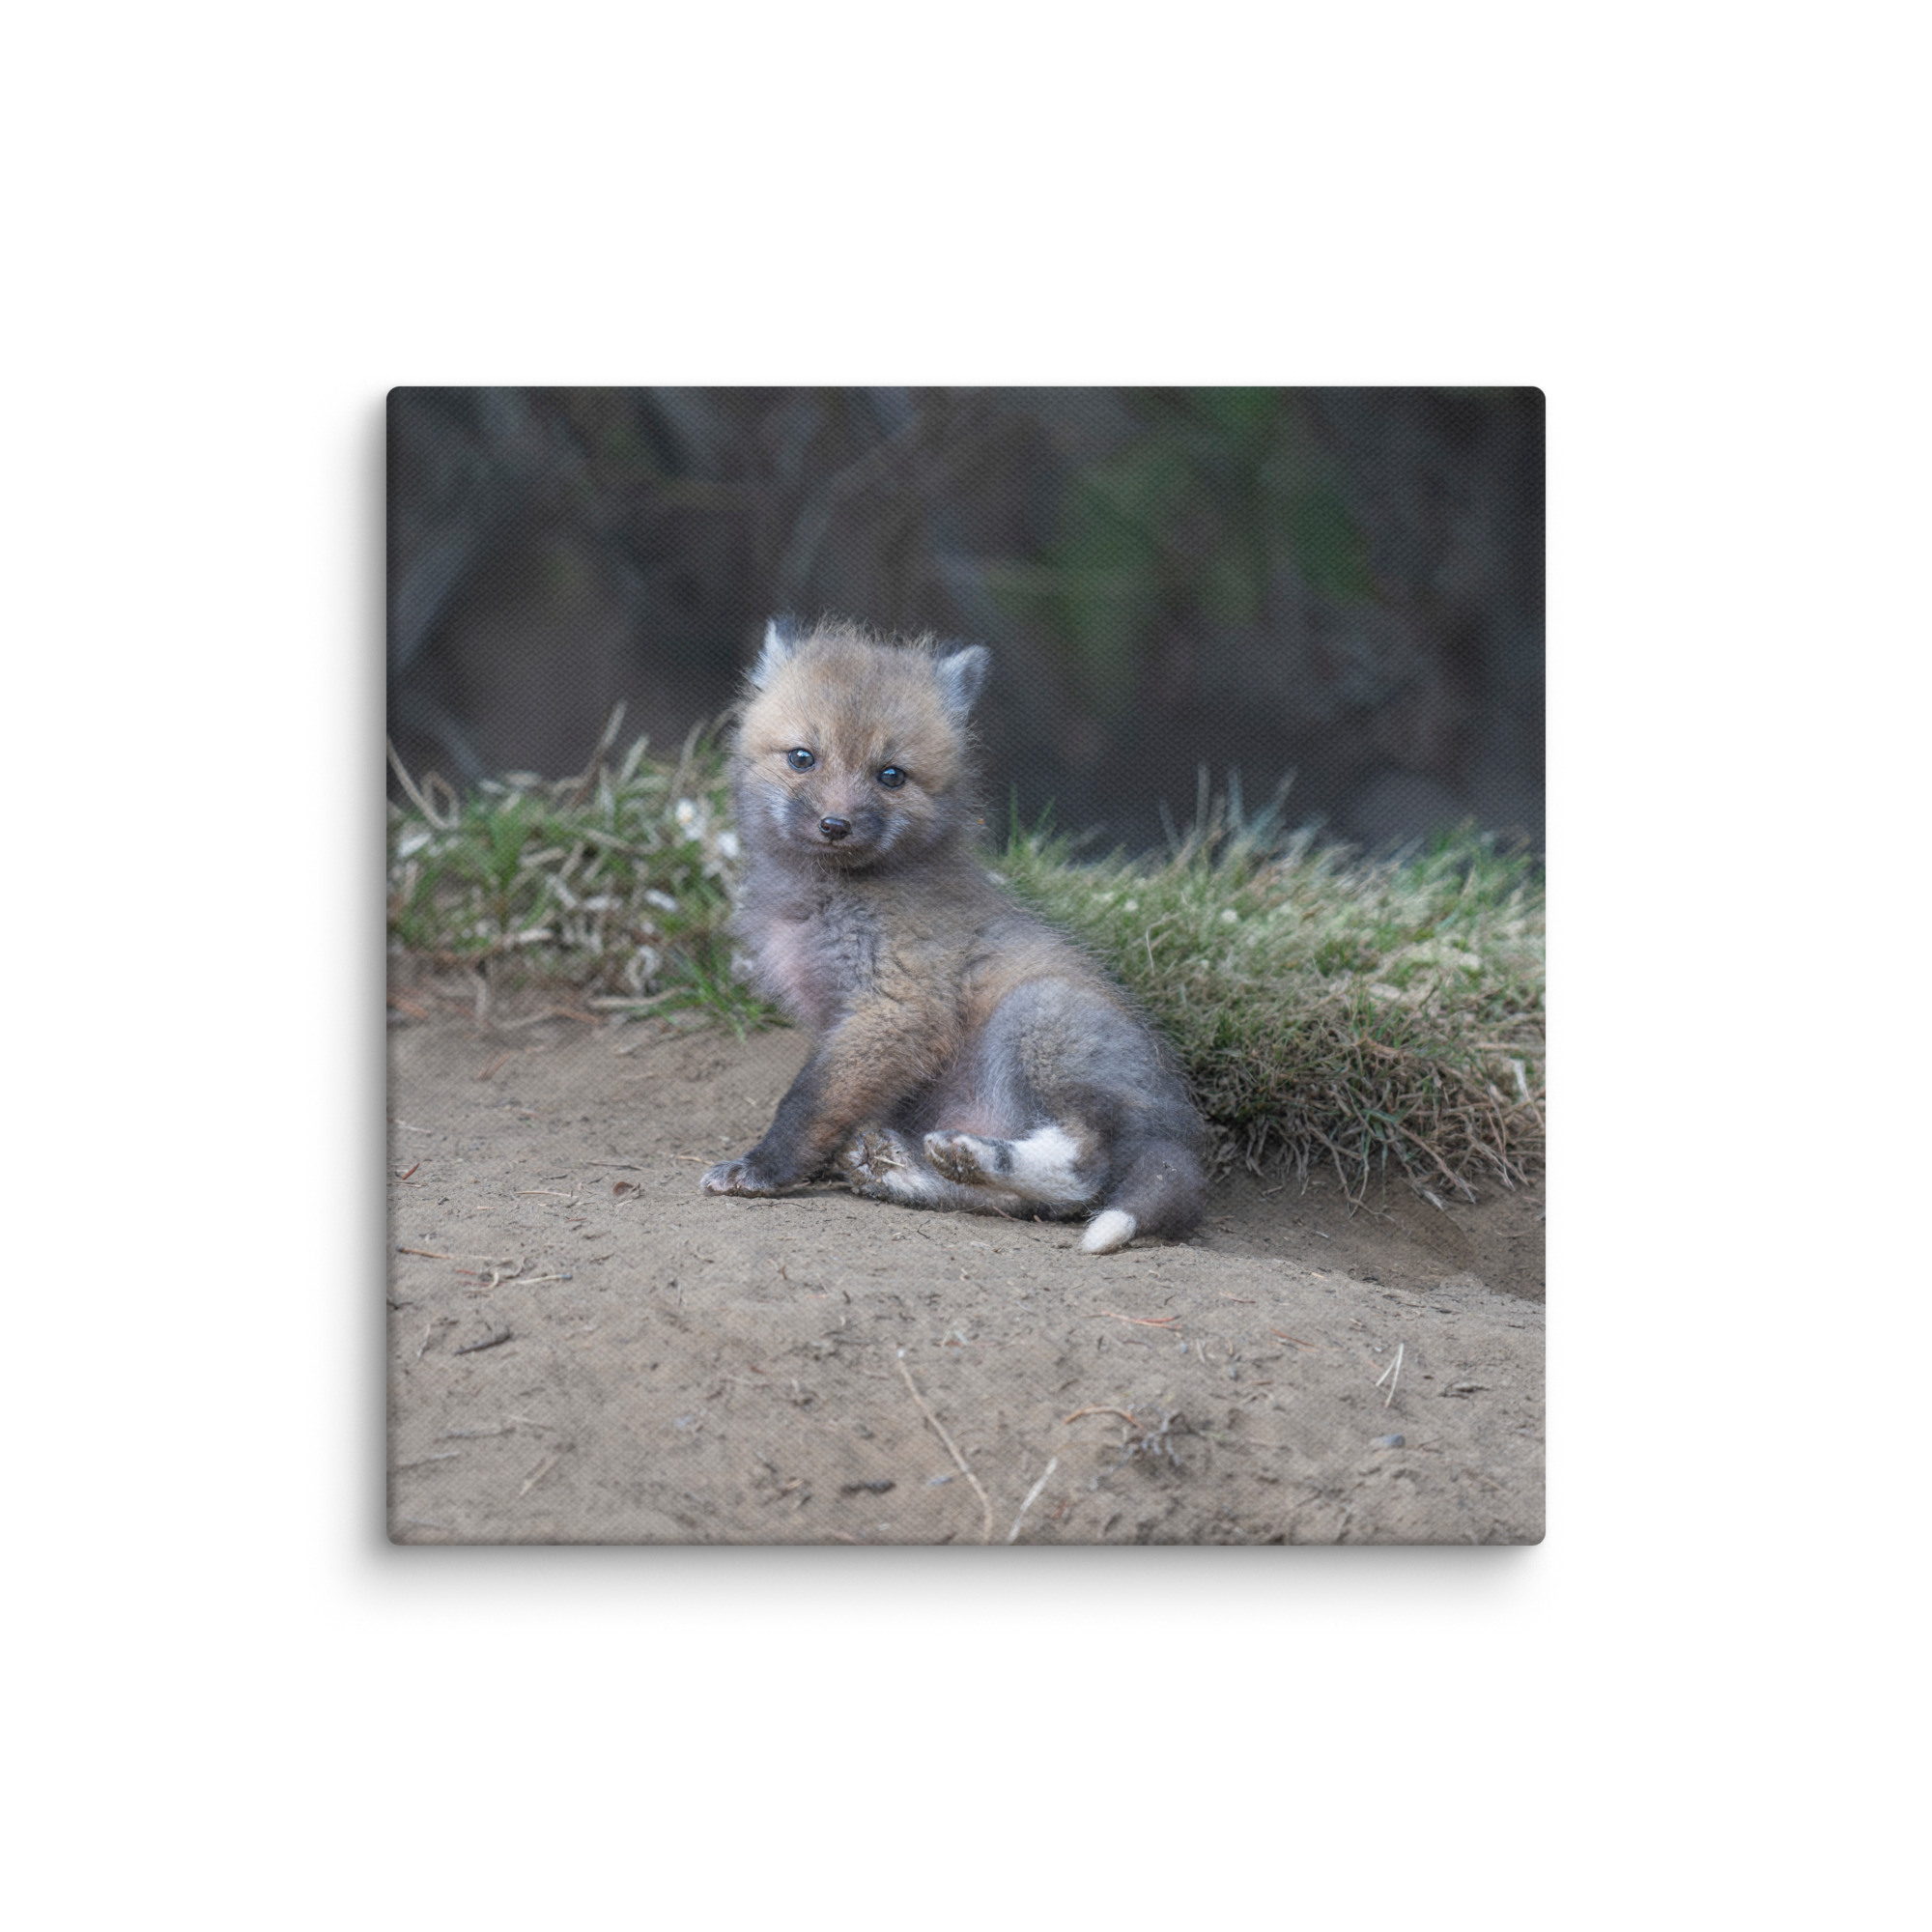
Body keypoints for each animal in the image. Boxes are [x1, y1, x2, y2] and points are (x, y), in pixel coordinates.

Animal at [699, 618, 1206, 1254]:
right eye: (802, 758)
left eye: (891, 775)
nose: (835, 825)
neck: (827, 898)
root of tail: (1179, 1131)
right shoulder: (845, 1022)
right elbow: (834, 1103)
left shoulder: (898, 1007)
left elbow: (808, 1102)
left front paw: (764, 1169)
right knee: (1024, 1204)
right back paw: (908, 1170)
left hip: (1036, 1017)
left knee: (1084, 1171)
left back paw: (971, 1156)